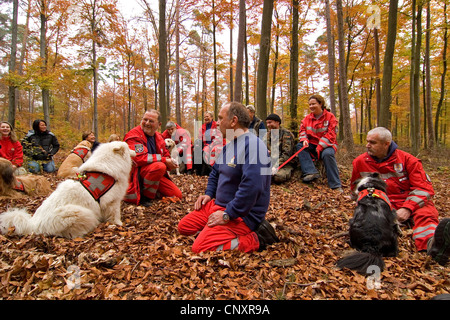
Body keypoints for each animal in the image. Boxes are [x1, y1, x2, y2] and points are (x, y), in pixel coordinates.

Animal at [0, 141, 135, 239]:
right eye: (128, 148)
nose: (135, 151)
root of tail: (33, 225)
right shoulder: (113, 201)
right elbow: (115, 215)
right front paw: (119, 224)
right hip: (79, 212)